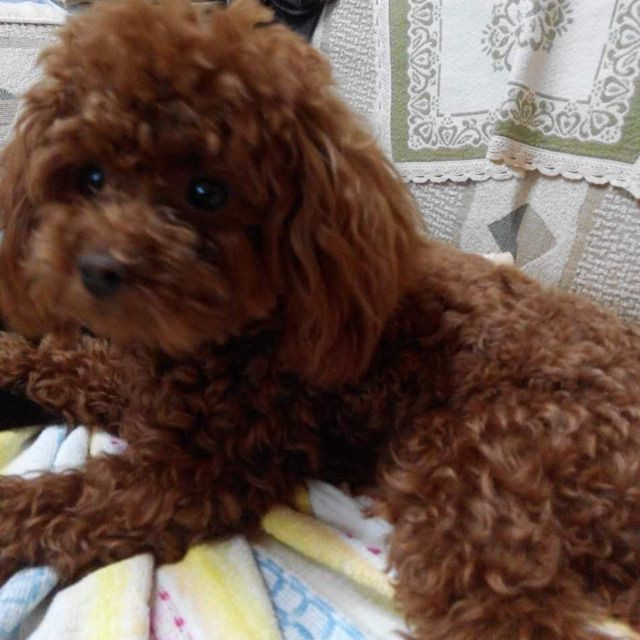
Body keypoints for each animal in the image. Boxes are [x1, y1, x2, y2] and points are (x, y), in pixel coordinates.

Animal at [0, 1, 640, 638]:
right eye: (90, 177)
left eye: (207, 192)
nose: (97, 269)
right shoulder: (146, 395)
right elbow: (77, 366)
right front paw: (14, 363)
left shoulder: (202, 474)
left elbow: (74, 499)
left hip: (480, 474)